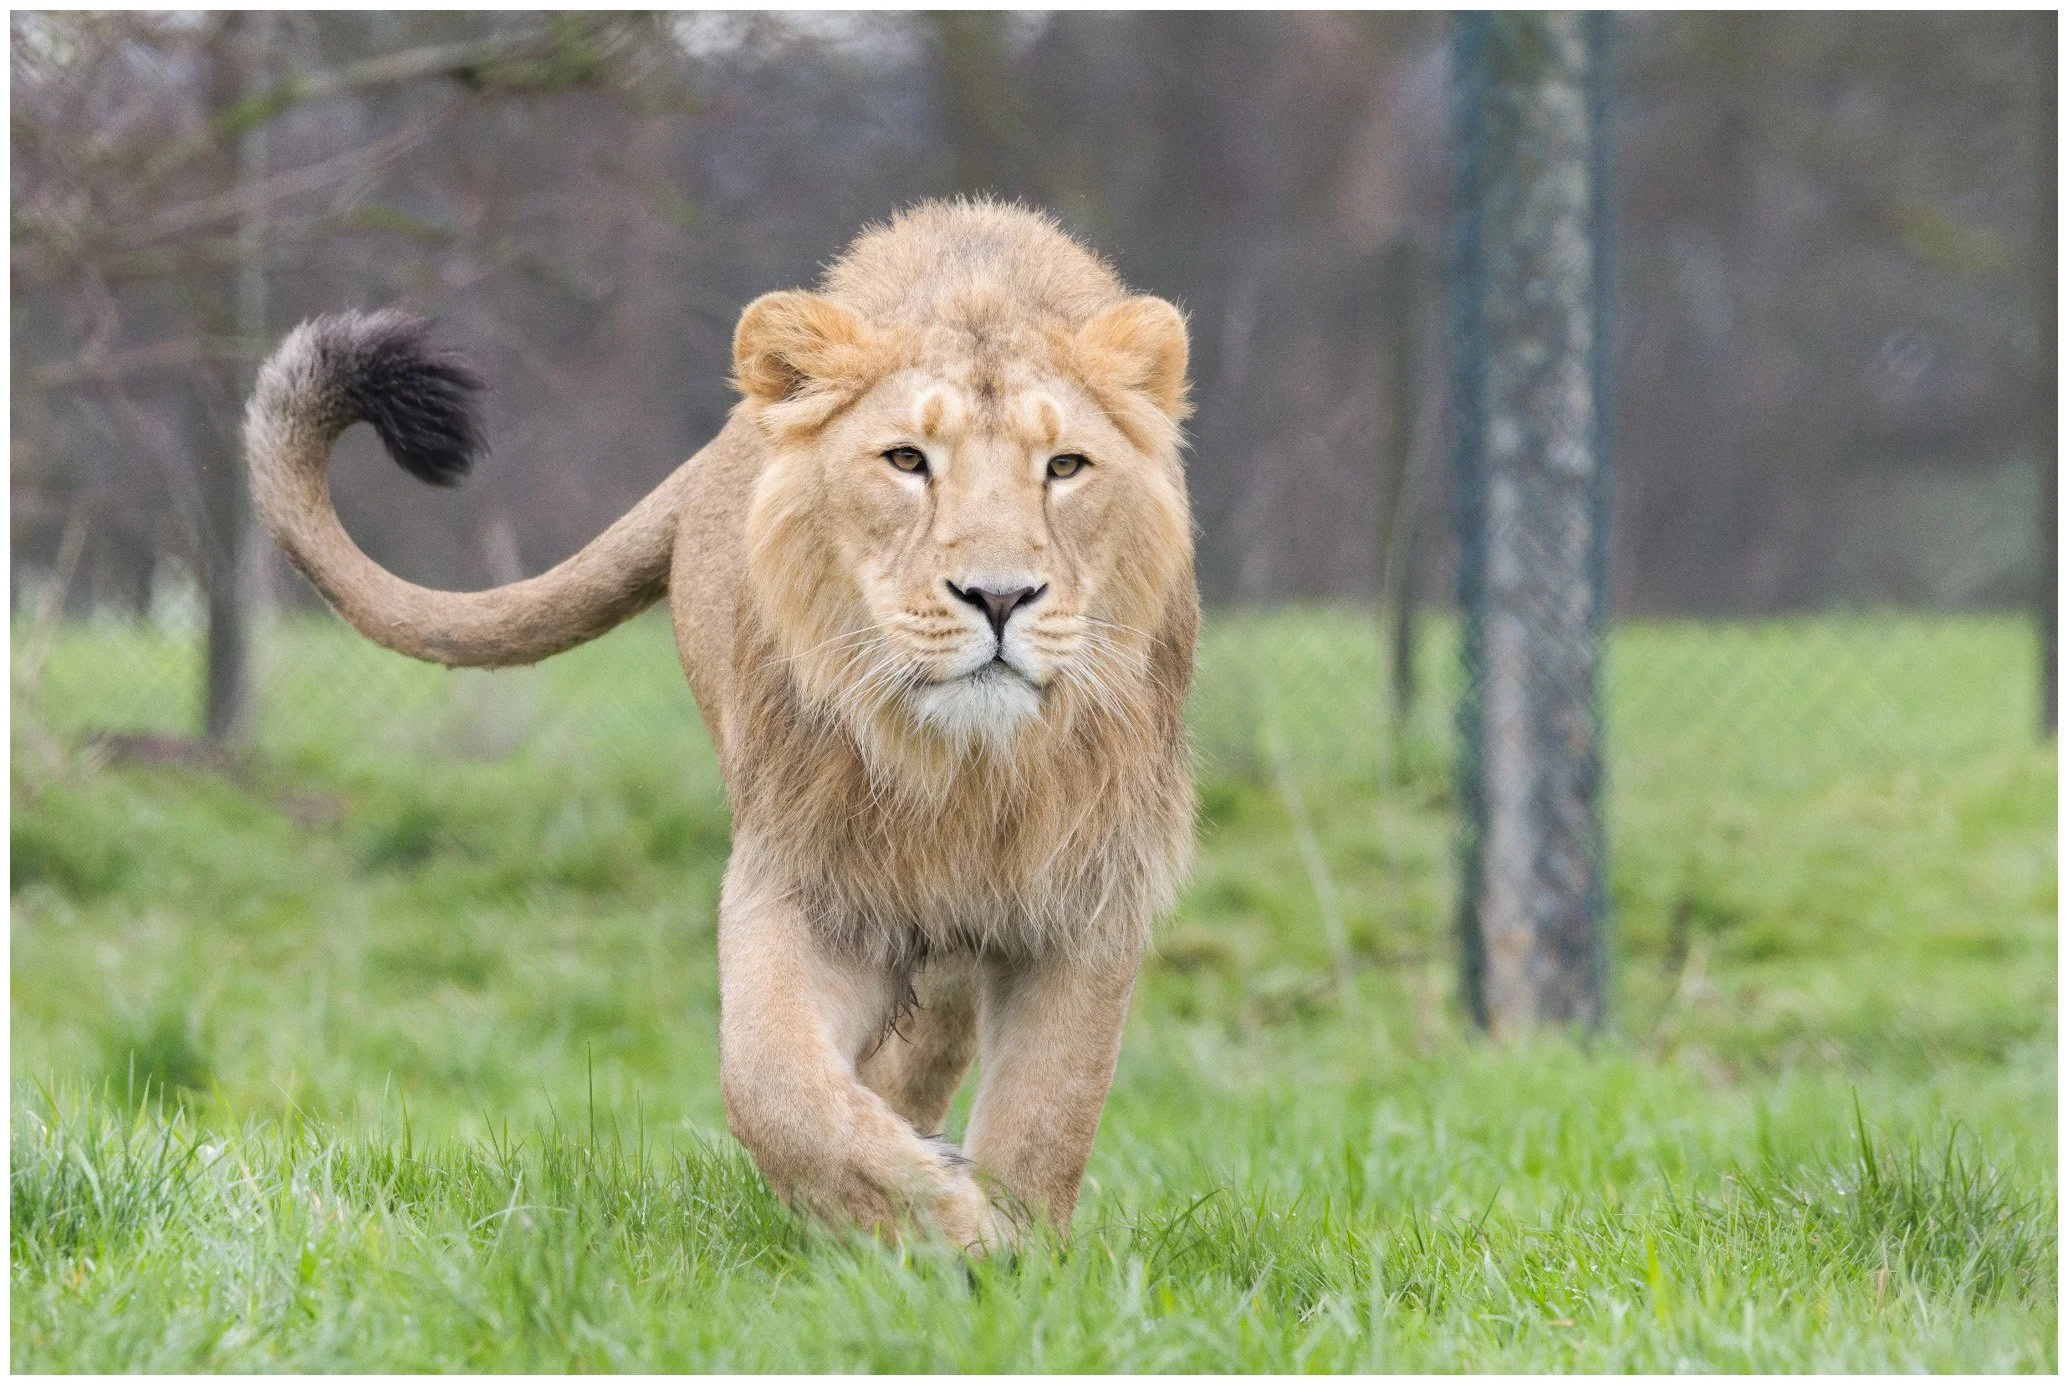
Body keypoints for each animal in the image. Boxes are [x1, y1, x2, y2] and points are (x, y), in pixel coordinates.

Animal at [245, 199, 1198, 1249]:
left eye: (1065, 466)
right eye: (907, 460)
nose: (999, 596)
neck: (963, 772)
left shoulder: (1091, 891)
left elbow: (1048, 1111)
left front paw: (1010, 1249)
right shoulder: (804, 872)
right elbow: (773, 1081)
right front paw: (939, 1221)